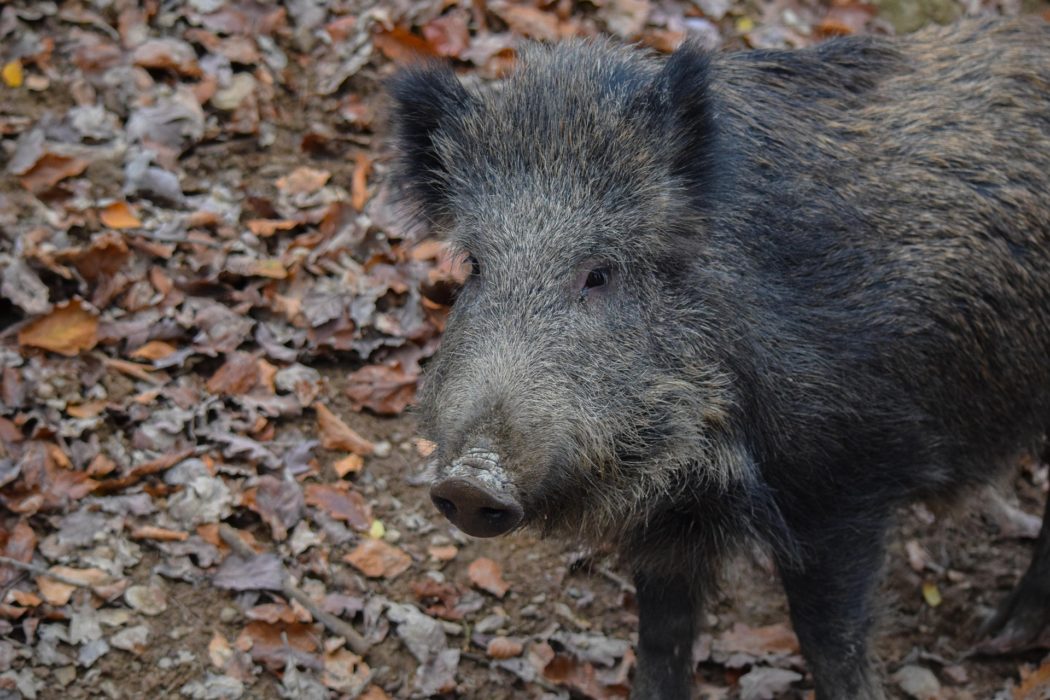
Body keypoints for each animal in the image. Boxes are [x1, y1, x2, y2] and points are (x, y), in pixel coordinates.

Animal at [389, 17, 1050, 700]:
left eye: (599, 273)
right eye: (473, 266)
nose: (470, 480)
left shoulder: (848, 478)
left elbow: (831, 642)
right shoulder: (670, 520)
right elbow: (662, 639)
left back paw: (996, 635)